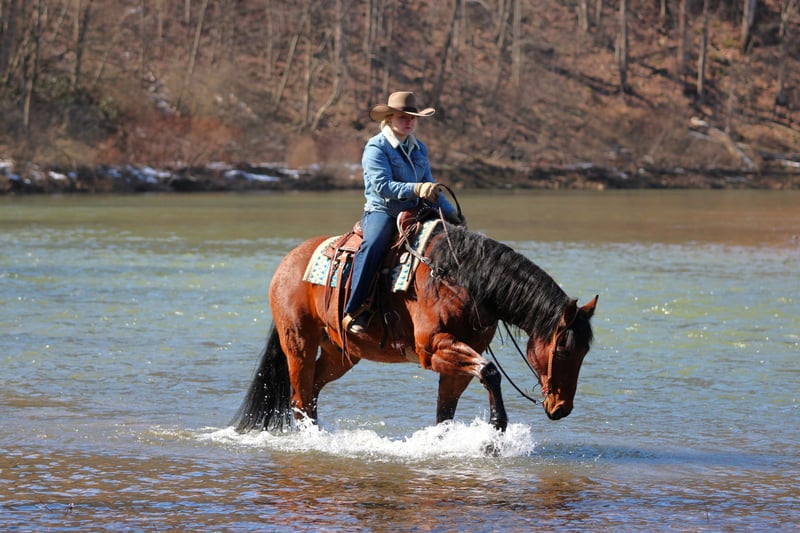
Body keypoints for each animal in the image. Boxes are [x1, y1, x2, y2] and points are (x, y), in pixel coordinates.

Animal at [232, 216, 597, 433]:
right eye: (563, 351)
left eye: (584, 353)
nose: (562, 408)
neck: (460, 277)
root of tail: (287, 262)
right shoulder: (434, 349)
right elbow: (491, 372)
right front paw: (496, 427)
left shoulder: (459, 359)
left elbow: (446, 409)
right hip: (299, 345)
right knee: (298, 397)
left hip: (340, 354)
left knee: (312, 392)